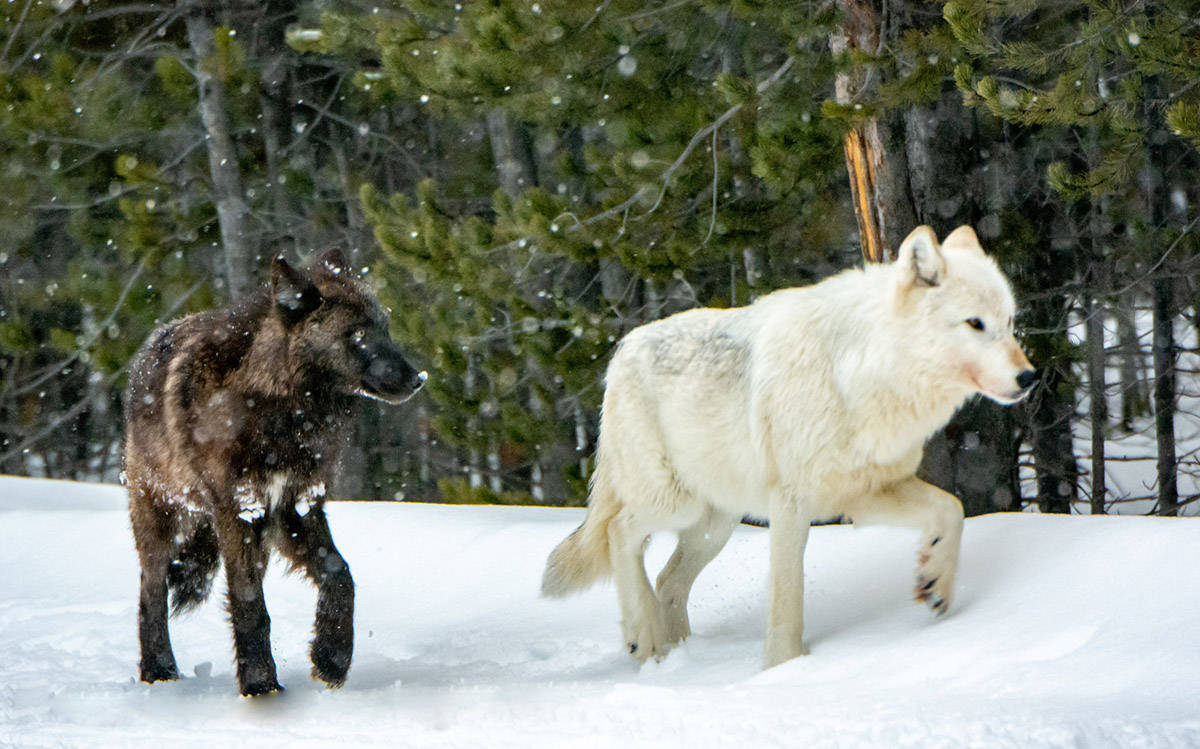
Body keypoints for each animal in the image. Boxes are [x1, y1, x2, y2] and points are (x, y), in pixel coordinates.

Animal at [125, 248, 427, 691]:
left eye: (385, 330)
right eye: (357, 334)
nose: (418, 378)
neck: (283, 411)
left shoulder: (294, 507)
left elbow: (340, 575)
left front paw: (332, 657)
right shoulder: (238, 512)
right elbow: (250, 602)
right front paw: (260, 684)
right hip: (161, 520)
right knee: (152, 593)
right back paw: (158, 671)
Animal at [542, 226, 1032, 667]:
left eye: (1009, 324)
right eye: (975, 324)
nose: (1029, 377)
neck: (861, 373)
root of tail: (622, 349)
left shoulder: (864, 493)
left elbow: (952, 509)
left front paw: (936, 581)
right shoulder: (793, 503)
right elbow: (786, 595)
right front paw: (784, 667)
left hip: (714, 525)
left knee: (667, 581)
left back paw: (674, 656)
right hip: (675, 504)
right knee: (618, 531)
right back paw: (642, 636)